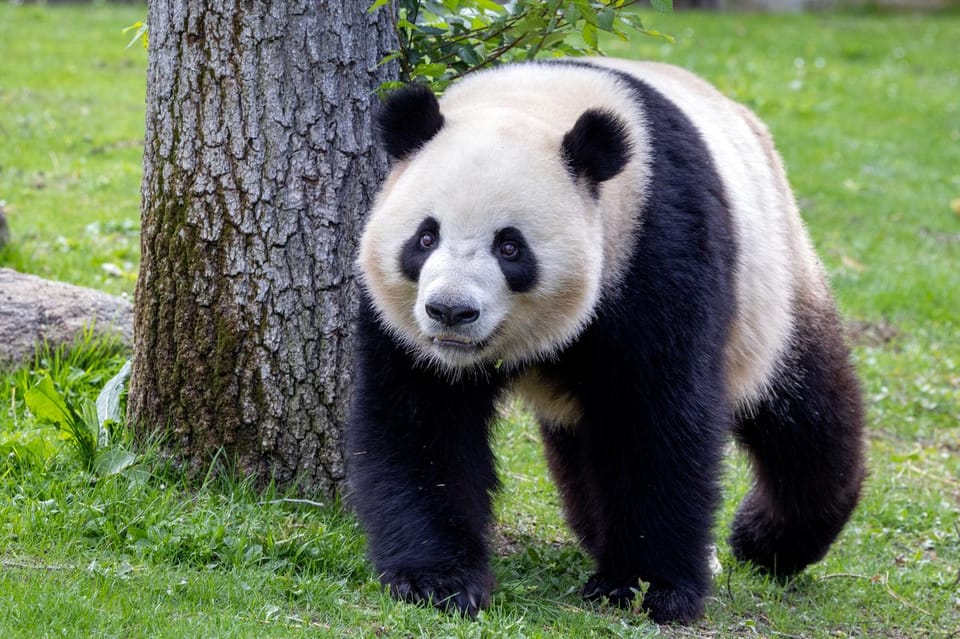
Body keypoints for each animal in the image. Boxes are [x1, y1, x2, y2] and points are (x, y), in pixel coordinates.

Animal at [346, 58, 866, 625]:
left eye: (510, 247)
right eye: (425, 237)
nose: (450, 312)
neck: (536, 101)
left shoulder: (657, 243)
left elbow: (655, 421)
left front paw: (646, 586)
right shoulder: (403, 326)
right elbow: (420, 421)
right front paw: (438, 580)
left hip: (773, 280)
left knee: (804, 412)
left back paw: (768, 540)